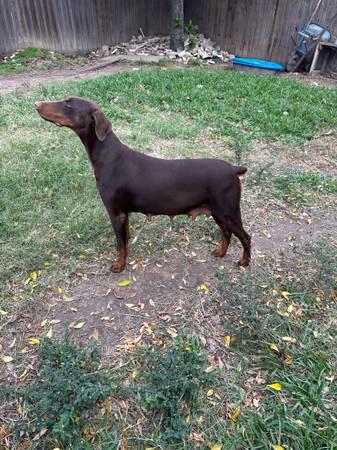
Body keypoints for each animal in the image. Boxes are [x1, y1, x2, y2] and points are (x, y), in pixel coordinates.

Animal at [36, 96, 249, 272]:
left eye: (68, 104)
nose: (36, 104)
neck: (108, 156)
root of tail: (233, 169)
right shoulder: (125, 213)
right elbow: (125, 240)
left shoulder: (115, 212)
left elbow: (120, 244)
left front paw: (119, 266)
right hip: (217, 213)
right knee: (227, 234)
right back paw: (220, 253)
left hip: (228, 212)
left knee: (245, 237)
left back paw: (244, 262)